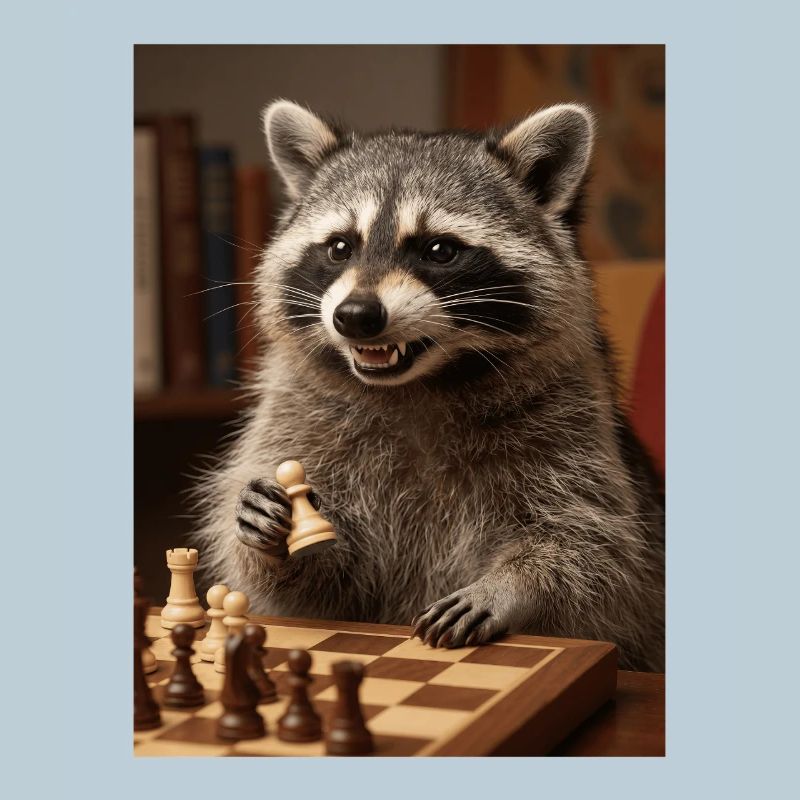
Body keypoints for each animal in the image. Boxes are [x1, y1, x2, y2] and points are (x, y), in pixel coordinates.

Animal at [193, 100, 665, 671]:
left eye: (439, 250)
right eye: (339, 247)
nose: (355, 316)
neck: (419, 385)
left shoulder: (573, 420)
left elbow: (591, 550)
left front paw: (513, 585)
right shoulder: (298, 417)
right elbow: (320, 594)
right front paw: (281, 545)